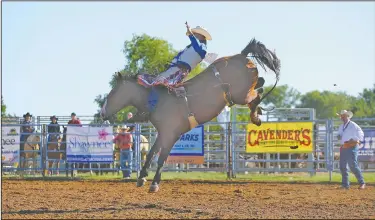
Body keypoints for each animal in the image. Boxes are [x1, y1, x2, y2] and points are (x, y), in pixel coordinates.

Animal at [100, 38, 280, 192]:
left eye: (113, 92)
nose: (102, 112)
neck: (157, 99)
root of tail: (242, 55)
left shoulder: (171, 134)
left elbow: (162, 157)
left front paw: (154, 183)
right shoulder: (163, 133)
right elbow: (151, 153)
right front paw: (142, 177)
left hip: (240, 94)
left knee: (257, 93)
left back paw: (256, 116)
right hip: (241, 93)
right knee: (259, 86)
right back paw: (257, 113)